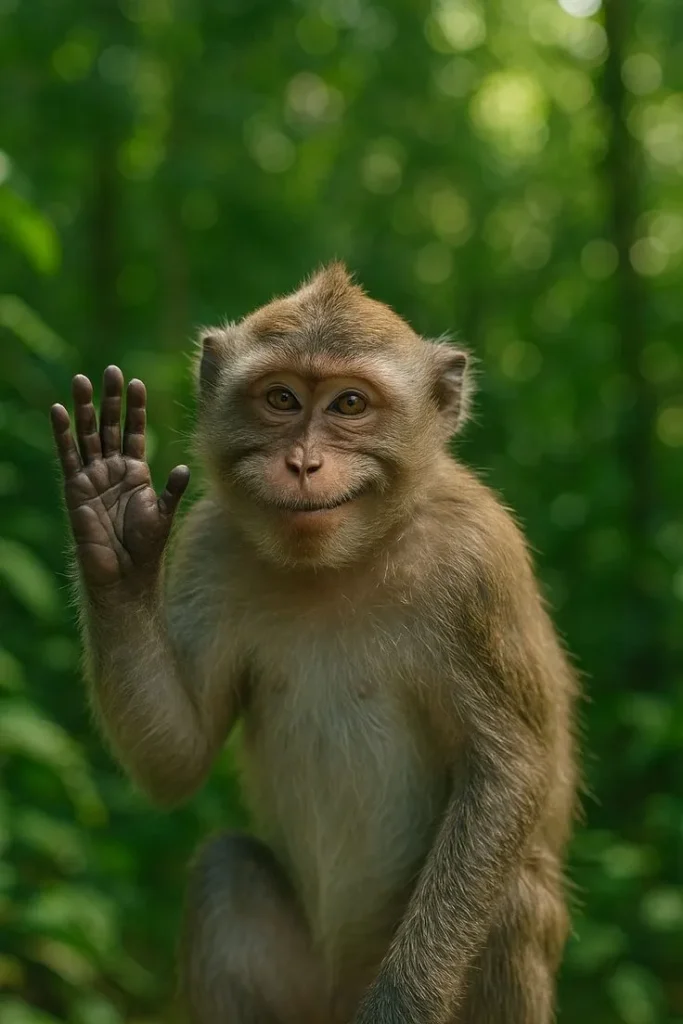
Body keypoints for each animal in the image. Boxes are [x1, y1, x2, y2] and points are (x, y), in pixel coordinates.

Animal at [50, 263, 578, 1024]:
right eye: (281, 398)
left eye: (349, 404)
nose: (302, 463)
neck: (340, 562)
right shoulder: (210, 545)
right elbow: (178, 757)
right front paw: (112, 522)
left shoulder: (477, 561)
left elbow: (508, 772)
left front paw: (401, 1005)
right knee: (227, 871)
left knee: (516, 897)